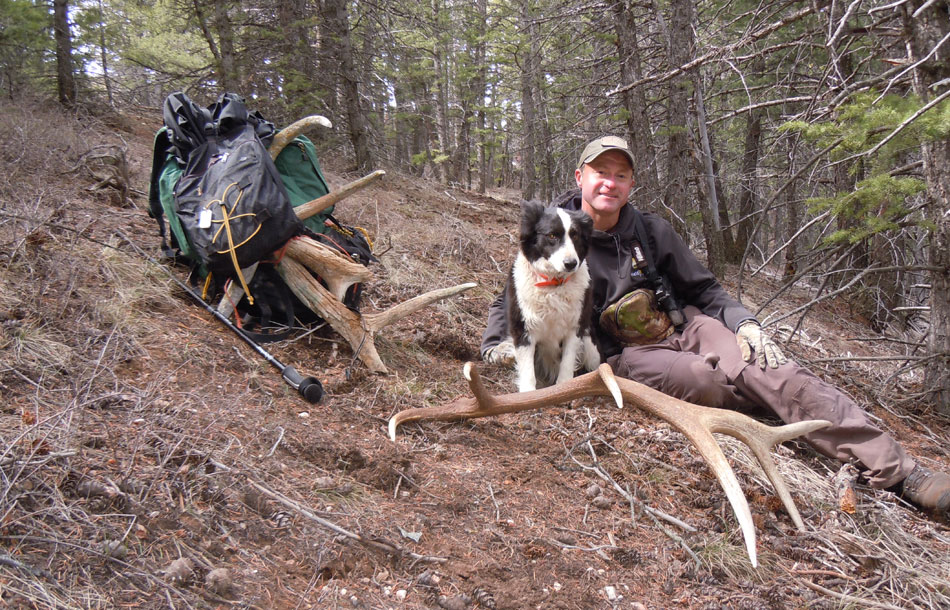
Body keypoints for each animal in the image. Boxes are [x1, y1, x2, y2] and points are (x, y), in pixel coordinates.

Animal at [506, 200, 604, 390]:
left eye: (575, 235)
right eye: (552, 235)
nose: (571, 264)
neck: (553, 285)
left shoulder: (575, 327)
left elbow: (567, 365)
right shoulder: (523, 327)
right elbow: (528, 373)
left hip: (591, 348)